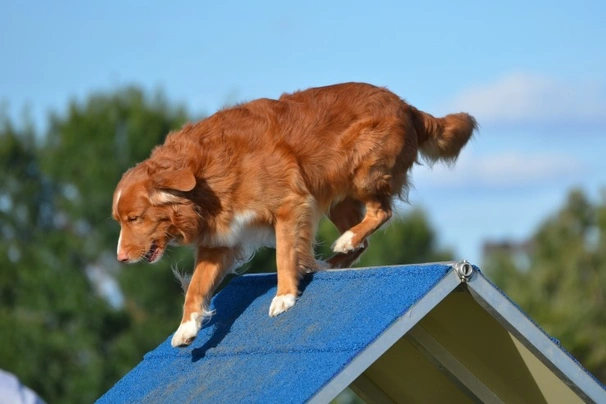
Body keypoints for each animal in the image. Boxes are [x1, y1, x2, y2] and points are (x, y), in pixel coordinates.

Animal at [111, 82, 478, 348]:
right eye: (120, 220)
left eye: (134, 218)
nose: (120, 259)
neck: (204, 175)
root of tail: (406, 106)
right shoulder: (221, 241)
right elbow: (196, 288)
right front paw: (187, 328)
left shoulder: (290, 205)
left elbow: (284, 254)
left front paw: (284, 297)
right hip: (336, 199)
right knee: (362, 241)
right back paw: (329, 261)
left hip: (362, 170)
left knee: (381, 211)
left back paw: (343, 242)